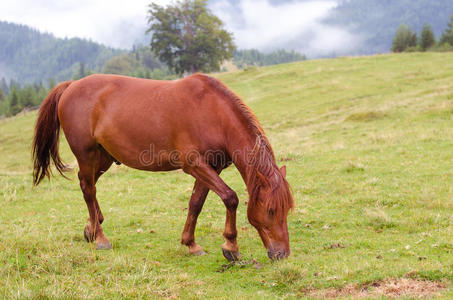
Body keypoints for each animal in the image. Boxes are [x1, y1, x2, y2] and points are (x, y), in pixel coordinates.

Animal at [31, 74, 294, 260]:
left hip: (103, 157)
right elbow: (230, 198)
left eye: (286, 210)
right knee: (88, 188)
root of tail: (71, 85)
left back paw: (91, 228)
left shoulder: (211, 167)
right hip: (87, 154)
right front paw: (230, 246)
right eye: (271, 211)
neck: (211, 111)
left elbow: (196, 203)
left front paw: (191, 244)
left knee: (87, 184)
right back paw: (100, 238)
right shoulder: (194, 164)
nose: (282, 254)